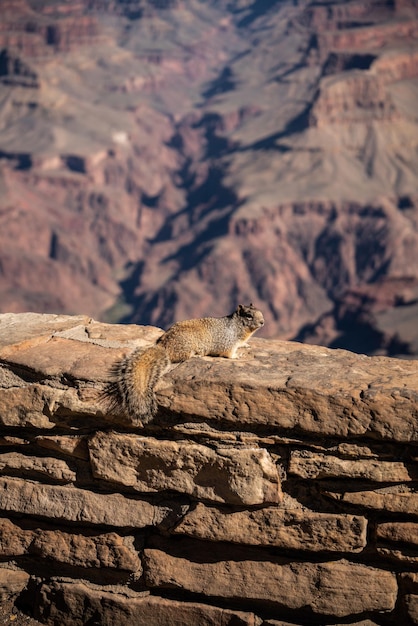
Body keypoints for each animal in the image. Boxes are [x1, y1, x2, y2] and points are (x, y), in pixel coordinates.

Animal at [107, 304, 264, 422]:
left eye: (260, 312)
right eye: (249, 315)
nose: (263, 322)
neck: (238, 327)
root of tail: (164, 346)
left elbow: (242, 344)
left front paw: (246, 346)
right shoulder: (229, 342)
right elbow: (229, 353)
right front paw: (237, 355)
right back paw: (196, 354)